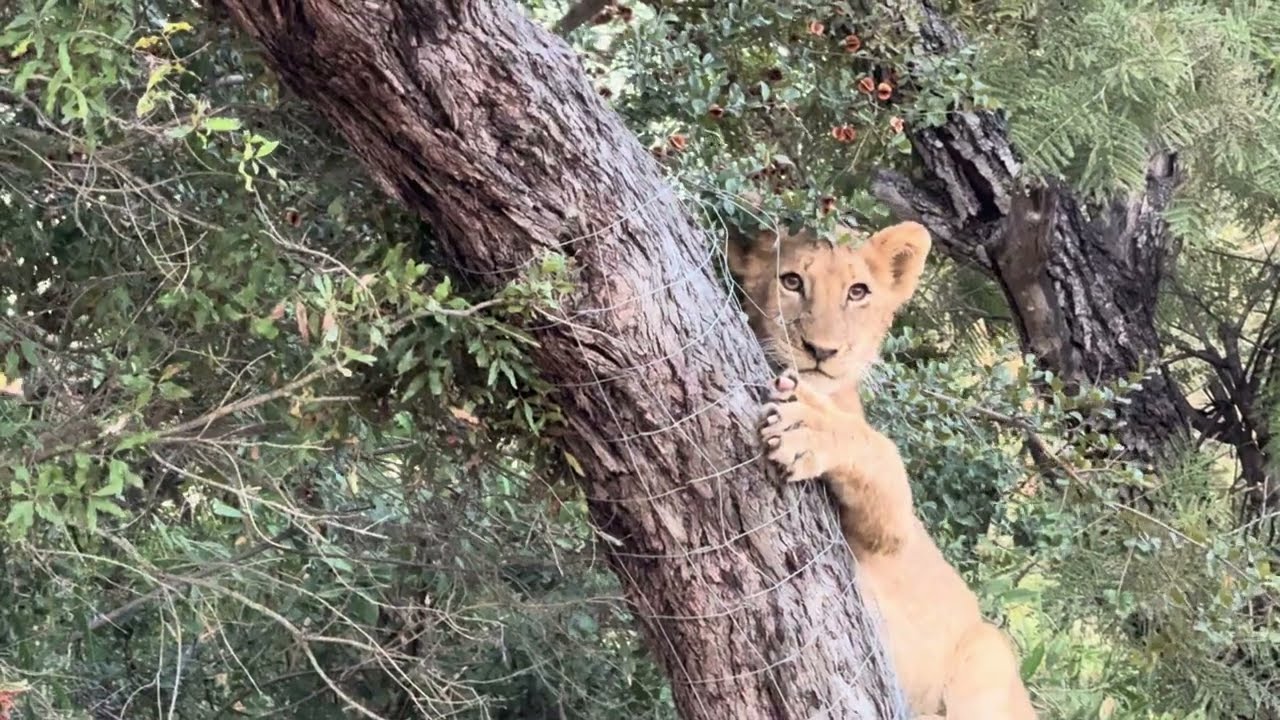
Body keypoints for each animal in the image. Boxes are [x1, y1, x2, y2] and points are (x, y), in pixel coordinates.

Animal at [727, 220, 1038, 720]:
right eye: (791, 281)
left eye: (858, 292)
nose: (821, 350)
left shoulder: (896, 532)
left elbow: (878, 450)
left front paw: (806, 428)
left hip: (987, 653)